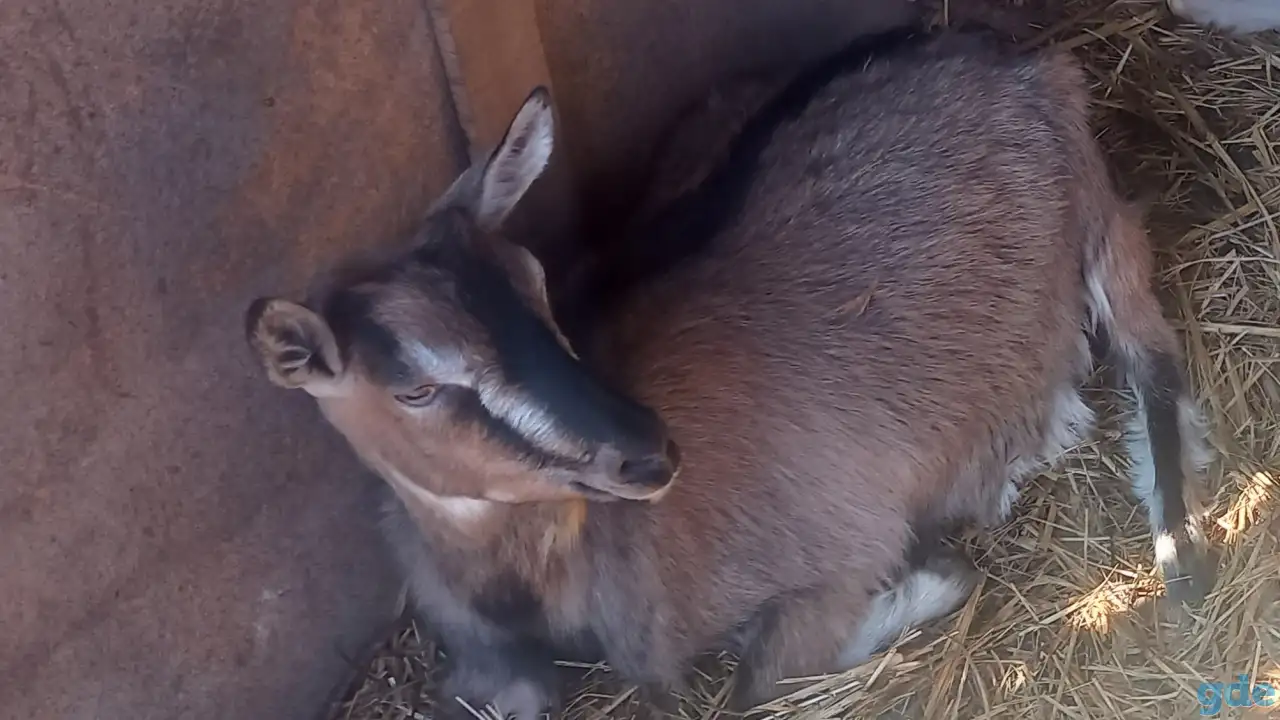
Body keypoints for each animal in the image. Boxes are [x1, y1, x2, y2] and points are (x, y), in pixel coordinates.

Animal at [245, 28, 1214, 719]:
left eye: (537, 282)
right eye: (414, 386)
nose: (645, 452)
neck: (555, 576)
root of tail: (1028, 66)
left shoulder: (843, 543)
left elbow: (757, 680)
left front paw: (934, 582)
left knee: (1153, 371)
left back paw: (1183, 565)